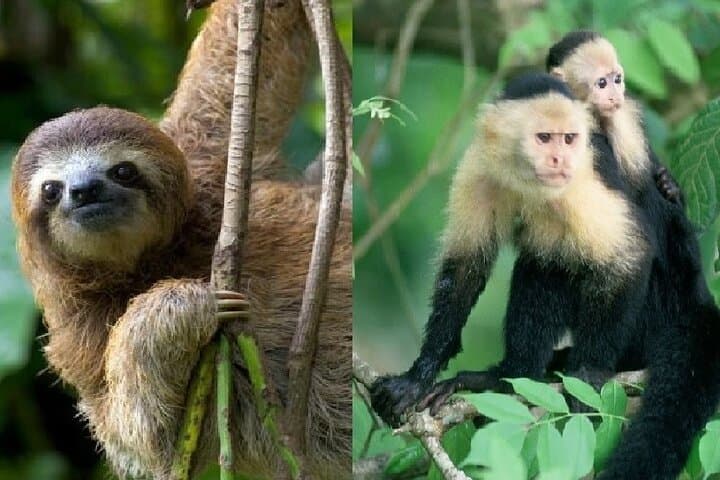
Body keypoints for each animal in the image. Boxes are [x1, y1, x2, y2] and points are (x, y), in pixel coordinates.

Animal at [370, 73, 720, 480]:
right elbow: (465, 267)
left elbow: (629, 256)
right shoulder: (480, 166)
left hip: (653, 316)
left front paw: (588, 373)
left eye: (569, 139)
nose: (559, 159)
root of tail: (696, 297)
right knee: (543, 260)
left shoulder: (583, 177)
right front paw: (417, 376)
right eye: (543, 137)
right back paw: (509, 377)